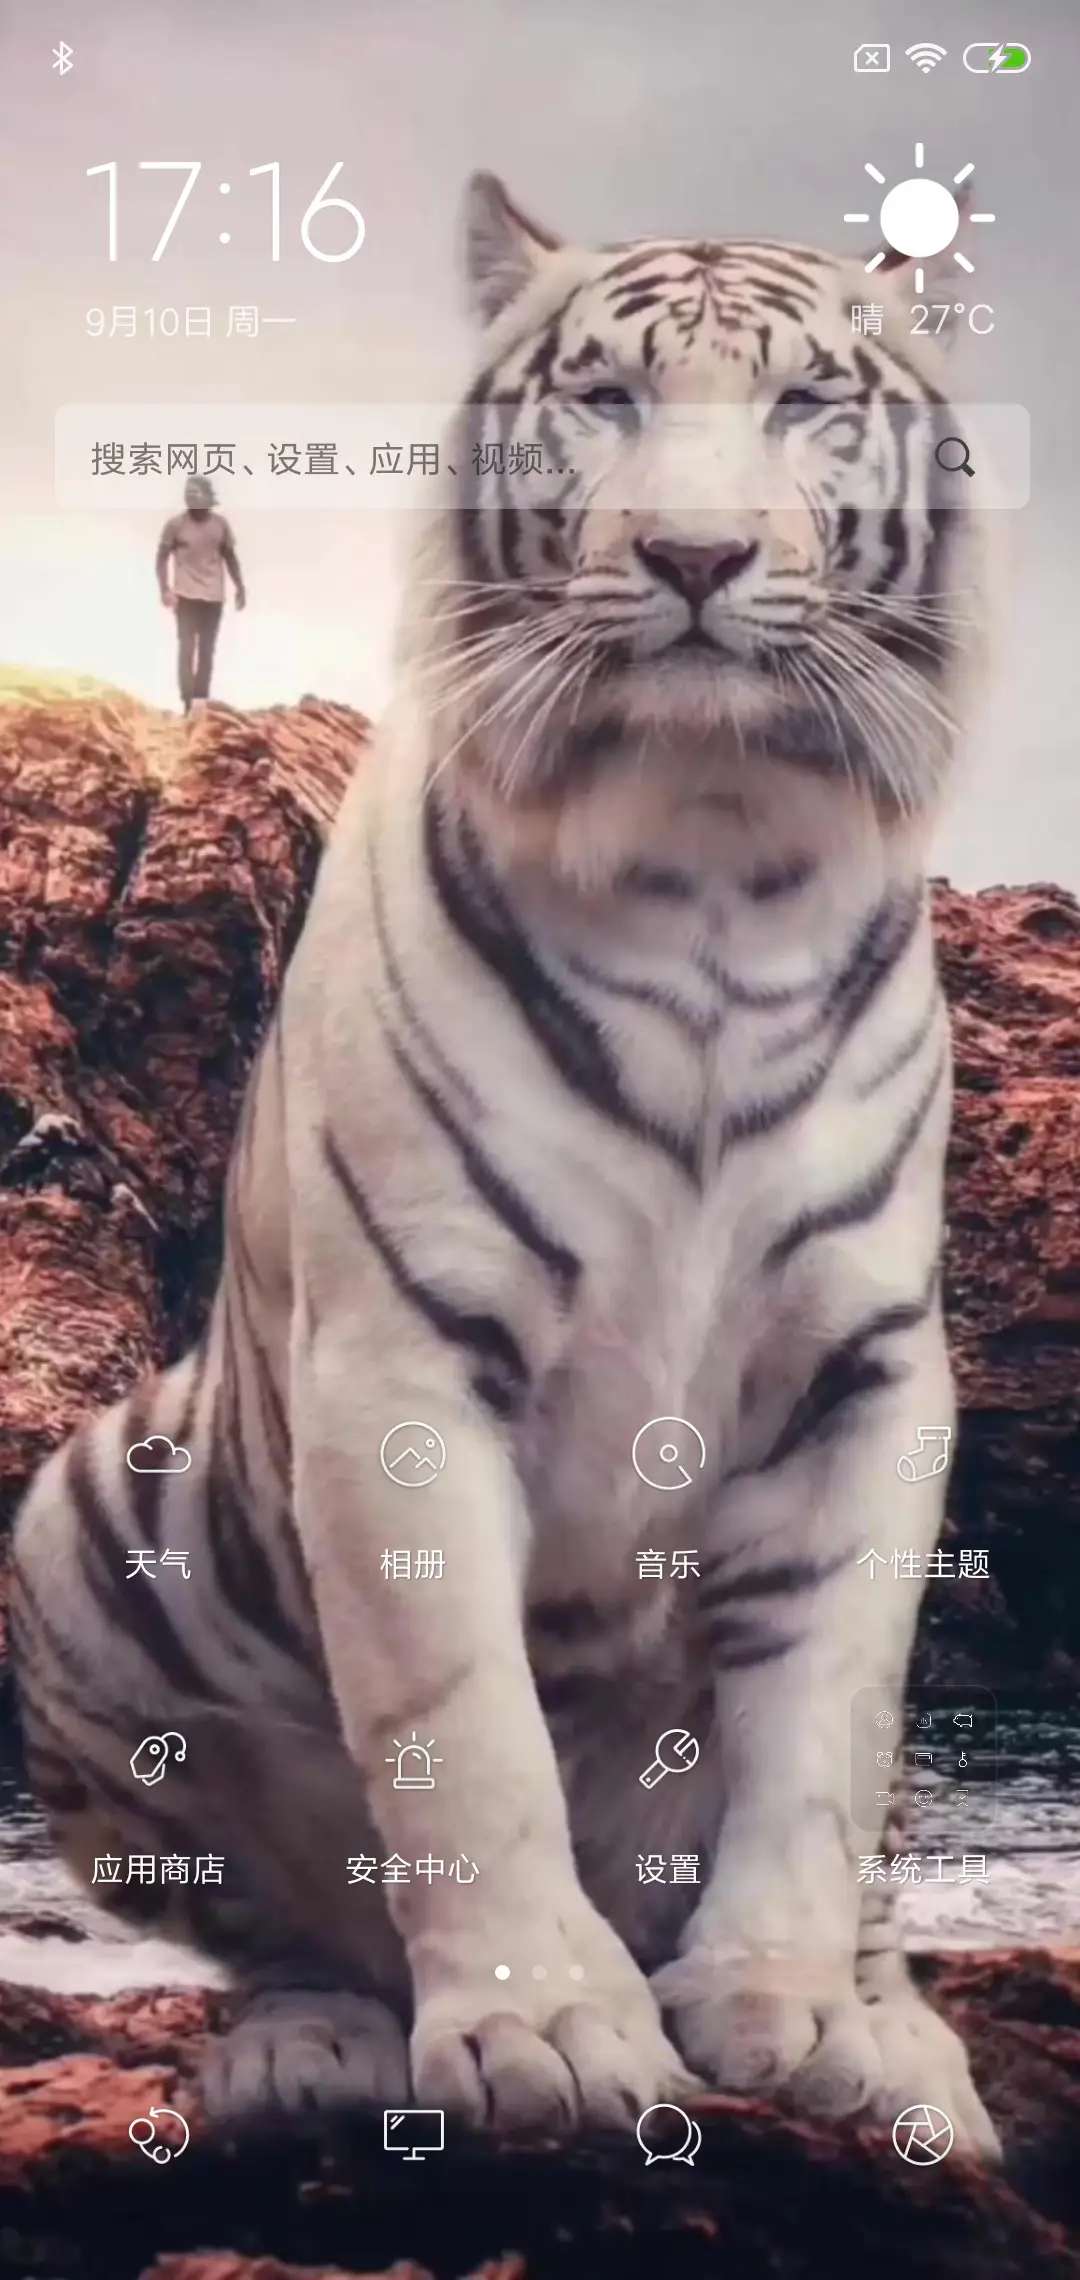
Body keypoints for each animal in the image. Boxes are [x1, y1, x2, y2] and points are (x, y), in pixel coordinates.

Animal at [10, 170, 1000, 2155]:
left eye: (803, 404)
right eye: (607, 399)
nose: (695, 558)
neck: (710, 858)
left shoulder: (869, 1377)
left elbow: (824, 1732)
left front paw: (782, 2007)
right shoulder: (399, 1357)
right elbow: (461, 1724)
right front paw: (548, 2029)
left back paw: (906, 2047)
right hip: (78, 1526)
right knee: (289, 1921)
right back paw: (314, 2047)